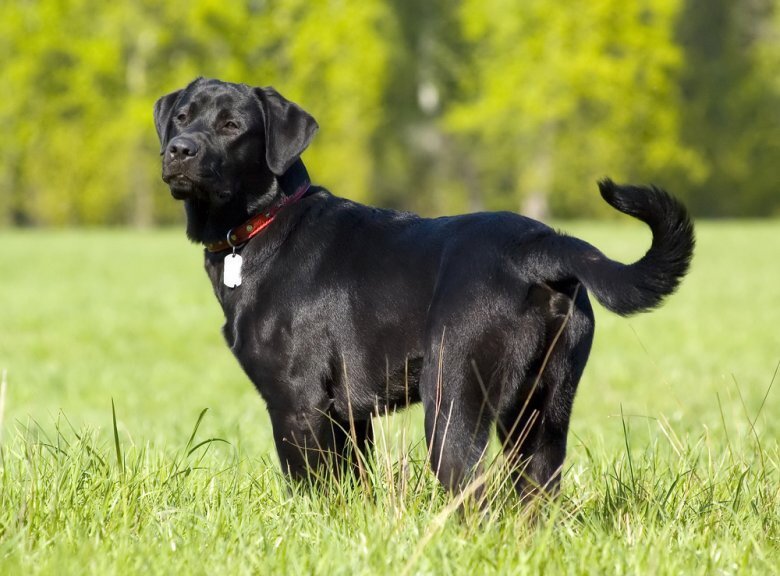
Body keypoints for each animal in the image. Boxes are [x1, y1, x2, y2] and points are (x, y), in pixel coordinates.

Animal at [152, 76, 696, 498]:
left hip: (452, 400)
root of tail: (543, 245)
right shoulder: (351, 417)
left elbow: (314, 490)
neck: (265, 223)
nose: (180, 149)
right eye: (182, 116)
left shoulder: (298, 403)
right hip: (542, 416)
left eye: (232, 127)